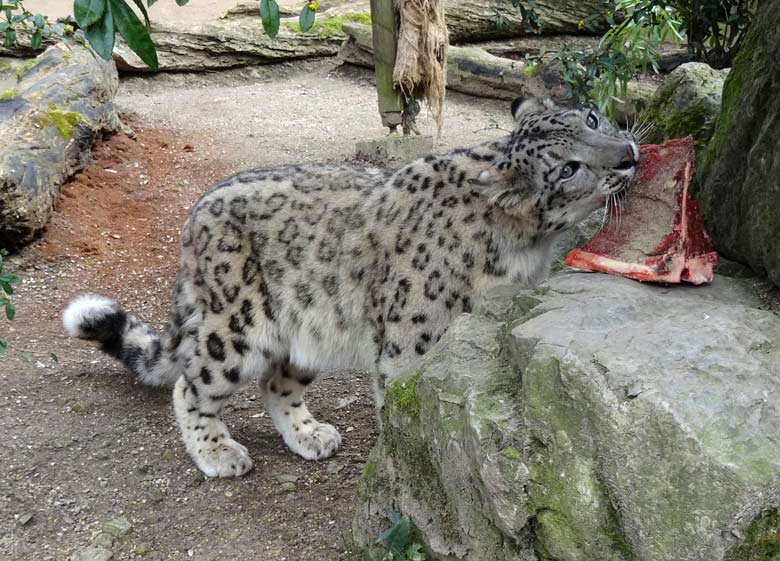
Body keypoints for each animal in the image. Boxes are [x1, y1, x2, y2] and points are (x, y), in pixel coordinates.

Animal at [62, 98, 640, 474]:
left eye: (593, 118)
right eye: (568, 169)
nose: (630, 154)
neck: (526, 248)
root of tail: (197, 212)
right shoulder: (411, 344)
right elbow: (403, 414)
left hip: (308, 326)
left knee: (277, 384)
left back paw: (310, 436)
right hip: (235, 327)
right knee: (192, 383)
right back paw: (218, 453)